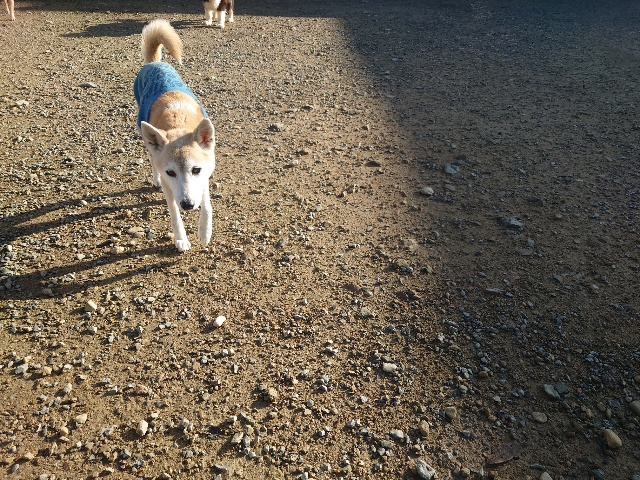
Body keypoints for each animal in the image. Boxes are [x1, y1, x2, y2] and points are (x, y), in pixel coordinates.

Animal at [134, 19, 216, 252]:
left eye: (195, 169)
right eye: (171, 172)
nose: (188, 204)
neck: (178, 123)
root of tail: (154, 64)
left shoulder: (205, 174)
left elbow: (207, 205)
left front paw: (204, 232)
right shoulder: (169, 187)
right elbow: (174, 214)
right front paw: (181, 238)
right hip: (147, 141)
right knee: (152, 161)